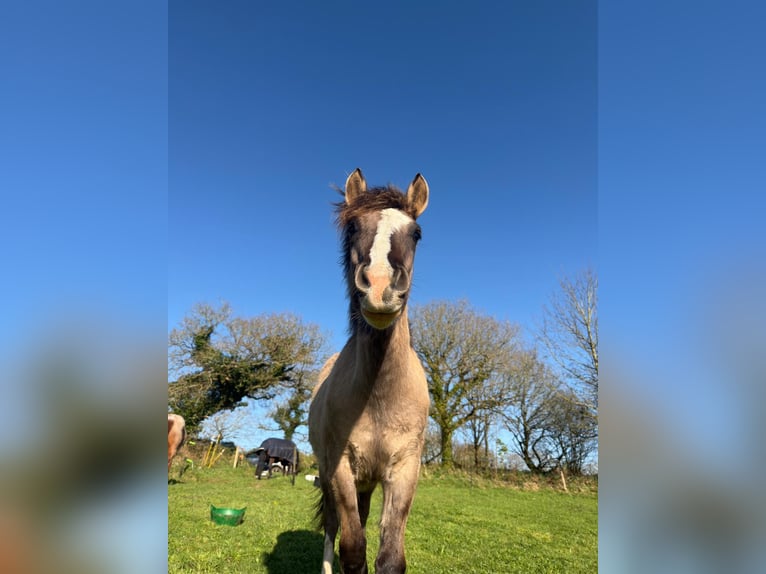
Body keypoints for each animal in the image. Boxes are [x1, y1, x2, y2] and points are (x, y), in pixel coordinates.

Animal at [308, 168, 431, 574]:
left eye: (416, 233)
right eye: (352, 227)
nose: (379, 287)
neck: (378, 394)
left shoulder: (404, 469)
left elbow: (389, 557)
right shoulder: (341, 468)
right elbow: (352, 550)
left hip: (368, 482)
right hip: (333, 477)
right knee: (334, 528)